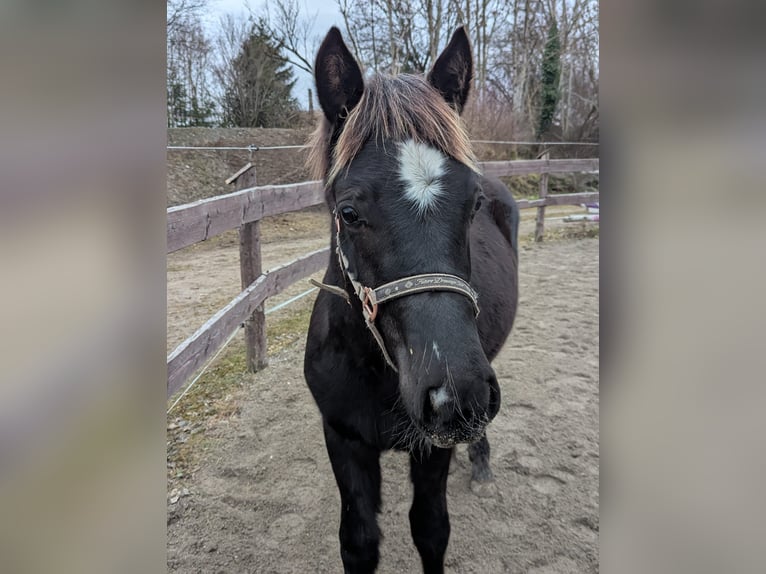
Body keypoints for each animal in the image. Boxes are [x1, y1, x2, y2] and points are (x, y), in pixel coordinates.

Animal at [303, 26, 519, 574]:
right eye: (349, 212)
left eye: (474, 204)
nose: (457, 397)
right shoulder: (343, 439)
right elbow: (358, 540)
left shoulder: (432, 449)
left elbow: (431, 529)